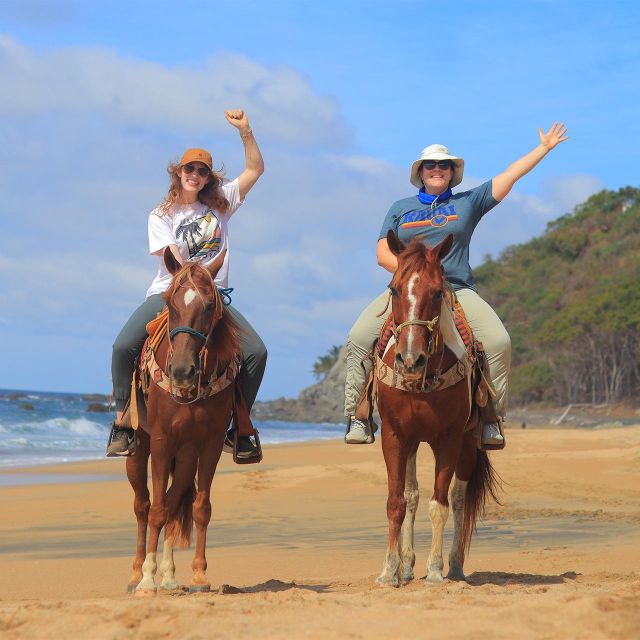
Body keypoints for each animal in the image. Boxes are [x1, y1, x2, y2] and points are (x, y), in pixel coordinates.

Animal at [126, 249, 241, 596]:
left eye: (210, 305)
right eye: (170, 302)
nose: (181, 371)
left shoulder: (211, 443)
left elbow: (199, 507)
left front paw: (199, 575)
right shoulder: (162, 440)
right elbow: (156, 510)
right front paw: (147, 580)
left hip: (187, 456)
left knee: (175, 502)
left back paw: (169, 576)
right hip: (139, 449)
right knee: (143, 505)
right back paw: (136, 574)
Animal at [376, 232, 500, 588]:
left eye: (435, 291)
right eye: (394, 289)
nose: (410, 359)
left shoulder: (449, 438)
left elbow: (440, 505)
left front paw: (434, 570)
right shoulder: (394, 435)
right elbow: (397, 501)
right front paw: (390, 570)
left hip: (469, 443)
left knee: (458, 498)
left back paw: (455, 566)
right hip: (414, 442)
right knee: (412, 494)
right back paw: (406, 566)